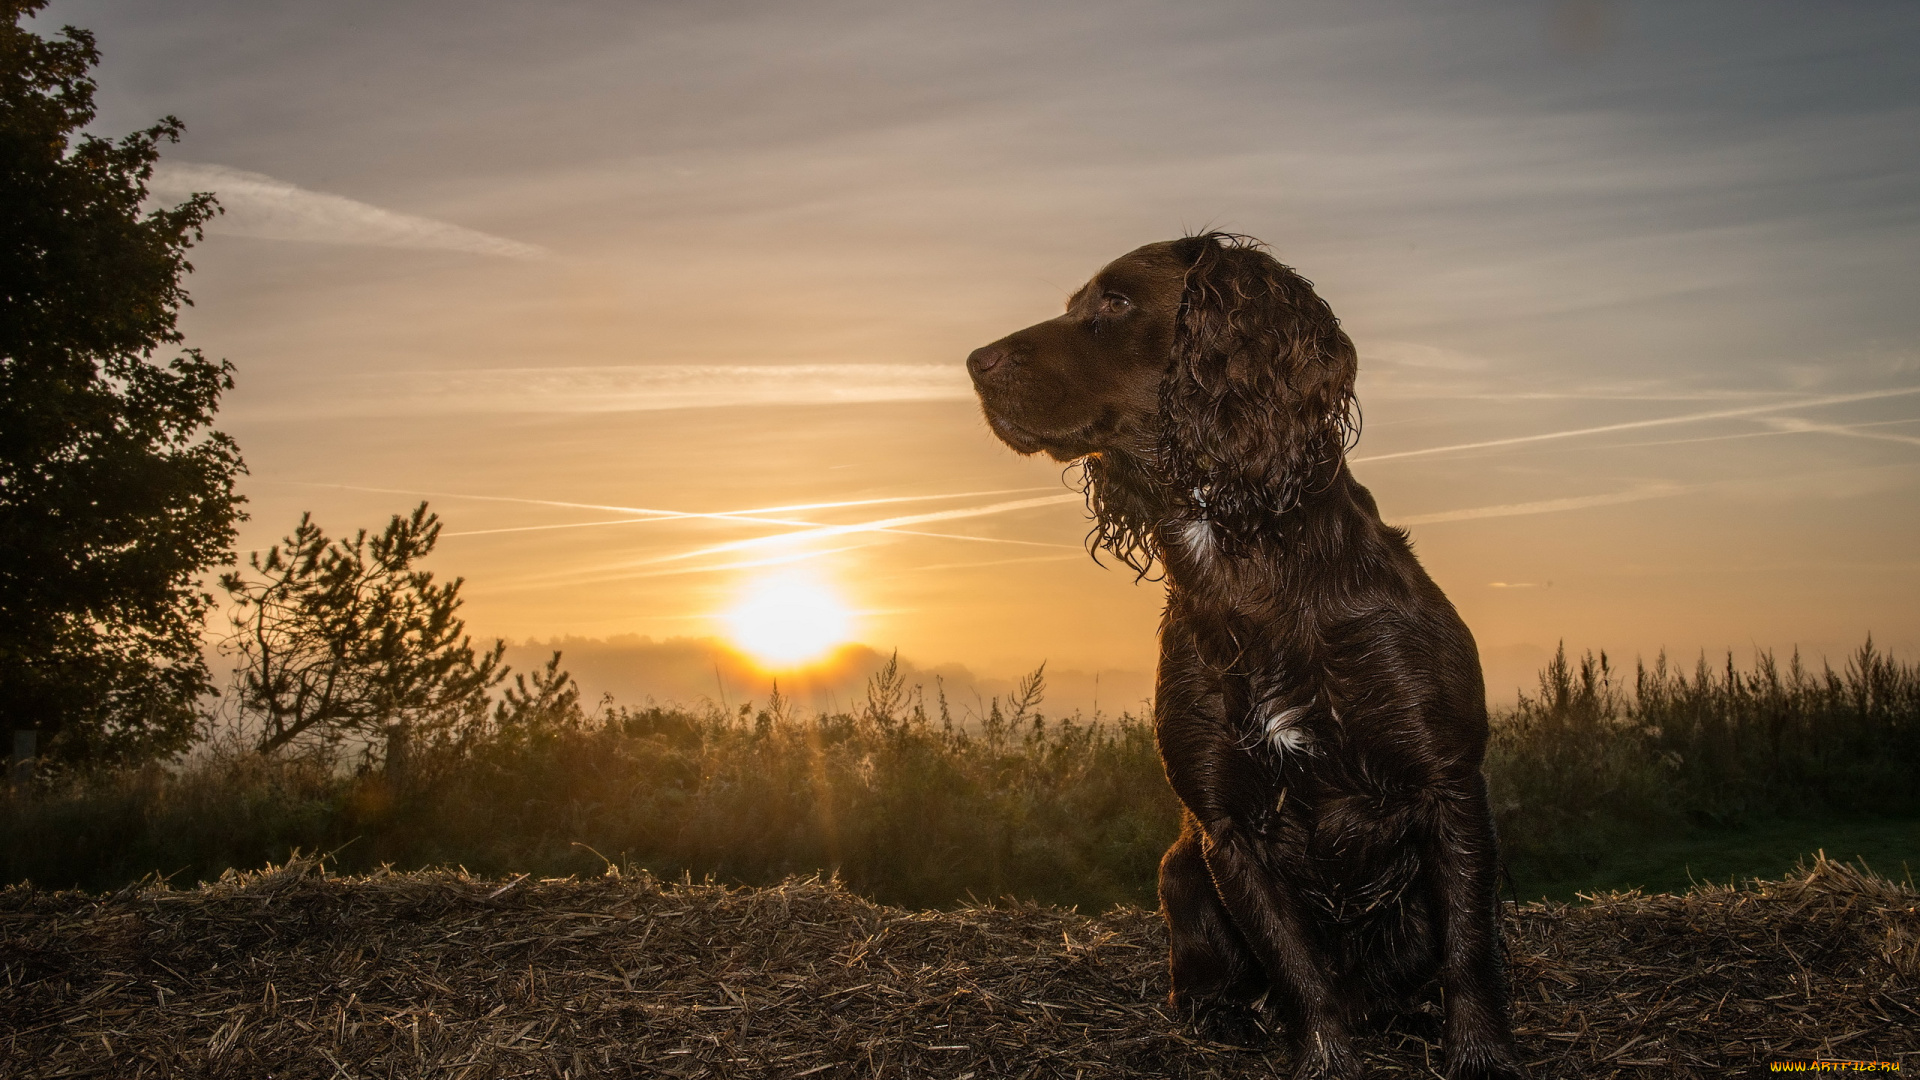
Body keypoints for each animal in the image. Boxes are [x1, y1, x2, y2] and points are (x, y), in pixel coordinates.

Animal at [967, 235, 1520, 1076]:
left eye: (1117, 302)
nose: (973, 361)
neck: (1247, 562)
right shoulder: (1225, 826)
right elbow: (1298, 972)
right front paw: (1323, 1057)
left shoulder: (1448, 783)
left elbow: (1467, 947)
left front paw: (1480, 1053)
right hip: (1179, 870)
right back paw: (1222, 1014)